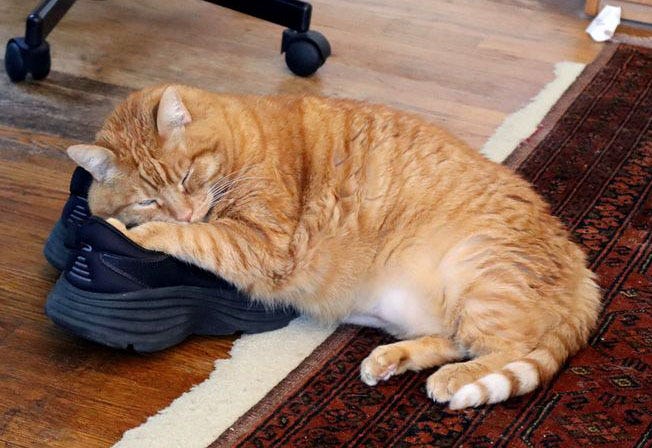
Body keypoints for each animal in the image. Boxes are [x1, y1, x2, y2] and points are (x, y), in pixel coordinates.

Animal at [66, 85, 601, 409]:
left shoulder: (266, 244)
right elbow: (199, 232)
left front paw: (134, 233)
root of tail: (582, 269)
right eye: (149, 198)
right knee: (453, 339)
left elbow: (197, 237)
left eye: (186, 176)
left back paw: (456, 381)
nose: (183, 210)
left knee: (506, 348)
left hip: (480, 278)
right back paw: (392, 359)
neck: (241, 141)